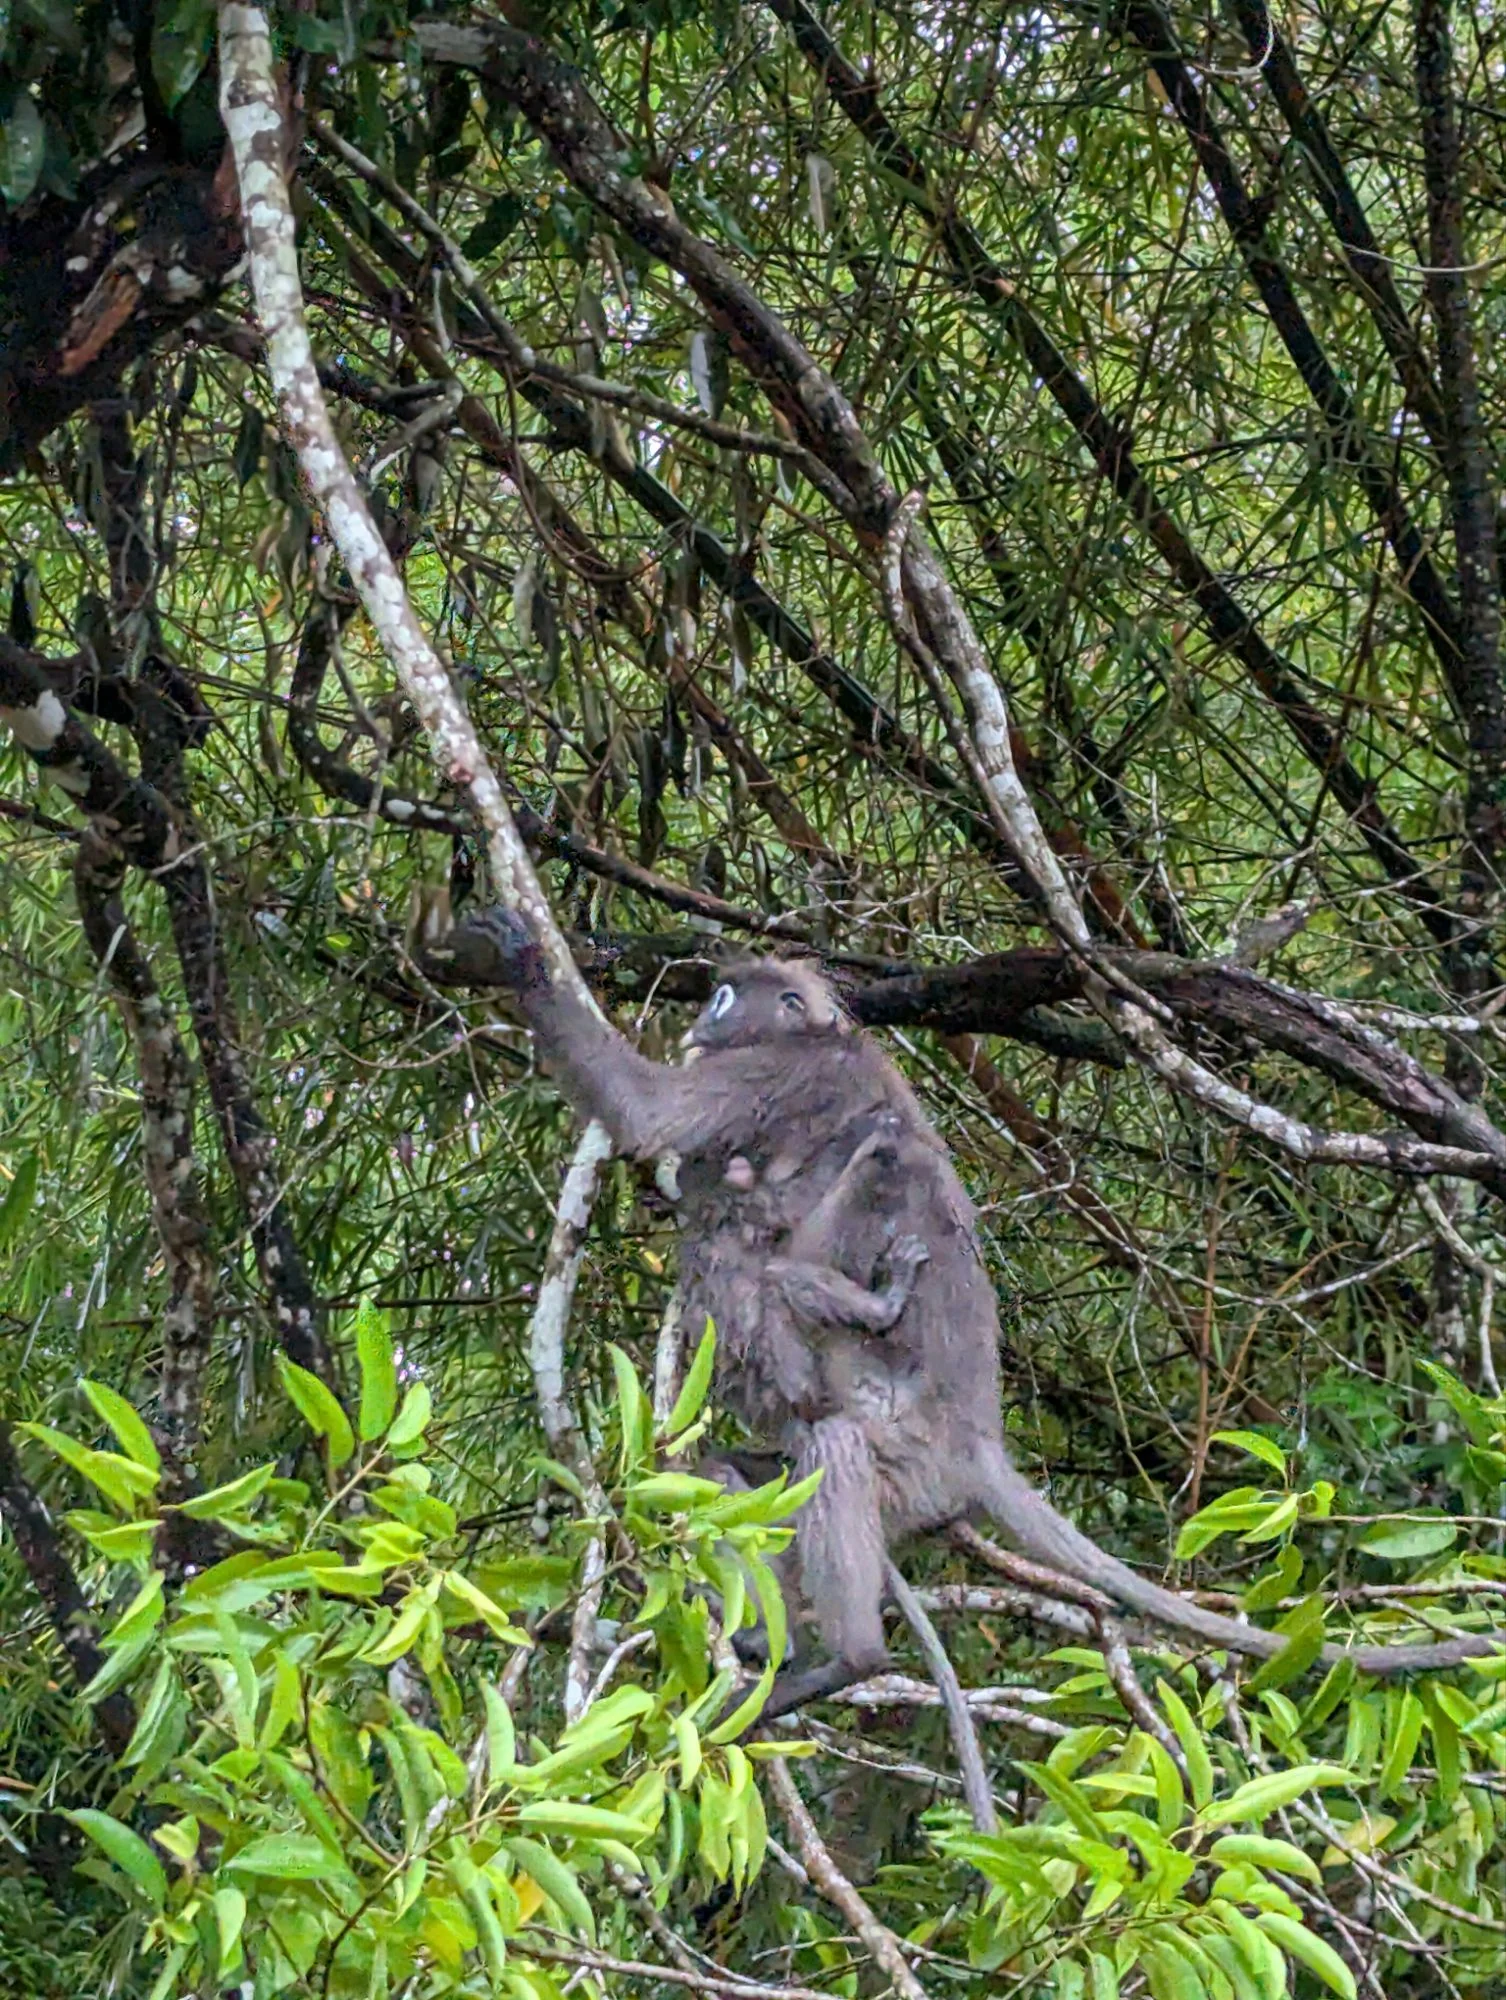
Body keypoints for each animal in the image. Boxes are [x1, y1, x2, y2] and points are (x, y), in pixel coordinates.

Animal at [445, 907, 1506, 1700]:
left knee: (835, 1433)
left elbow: (648, 1113)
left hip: (904, 1447)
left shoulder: (773, 1074)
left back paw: (849, 1656)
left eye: (724, 994)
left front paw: (519, 957)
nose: (703, 1013)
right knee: (746, 1464)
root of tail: (981, 1442)